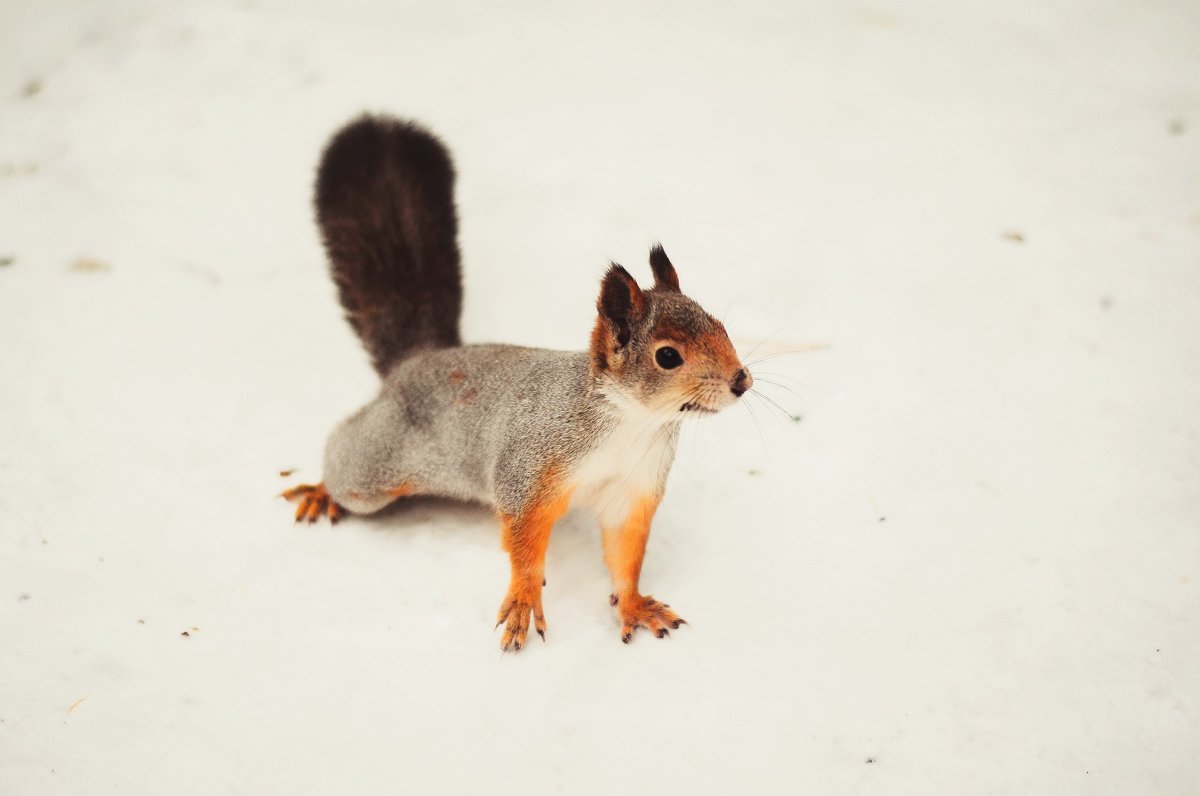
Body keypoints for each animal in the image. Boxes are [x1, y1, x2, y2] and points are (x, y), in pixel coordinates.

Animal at [279, 115, 748, 653]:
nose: (741, 380)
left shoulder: (632, 490)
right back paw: (321, 490)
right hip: (375, 466)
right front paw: (524, 599)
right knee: (344, 456)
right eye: (668, 356)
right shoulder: (529, 469)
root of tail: (418, 361)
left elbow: (624, 555)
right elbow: (524, 542)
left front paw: (633, 604)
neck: (632, 423)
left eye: (721, 326)